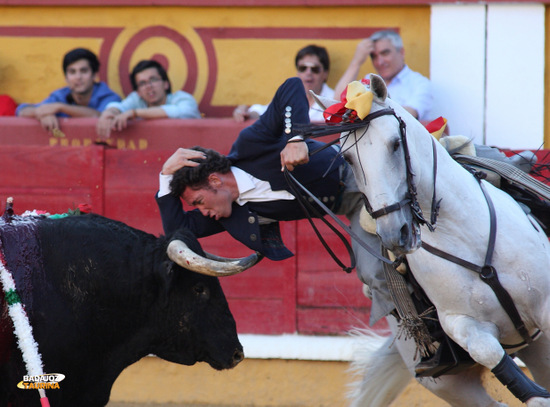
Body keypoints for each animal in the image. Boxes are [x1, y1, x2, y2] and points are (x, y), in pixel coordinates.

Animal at [312, 75, 550, 406]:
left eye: (395, 143)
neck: (462, 234)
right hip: (449, 382)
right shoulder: (461, 322)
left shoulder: (546, 308)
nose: (393, 232)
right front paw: (538, 397)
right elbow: (487, 350)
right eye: (347, 156)